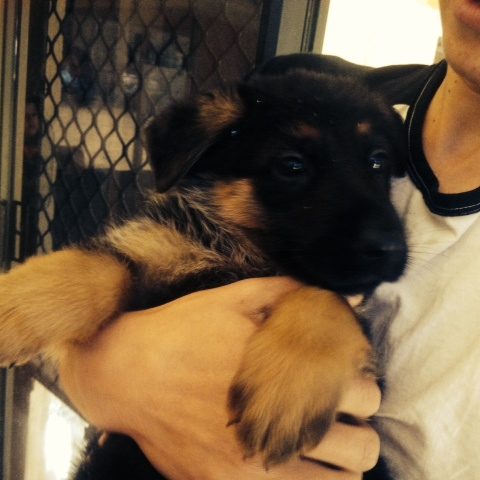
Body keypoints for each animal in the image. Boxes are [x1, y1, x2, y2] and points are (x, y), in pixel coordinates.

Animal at [0, 69, 406, 478]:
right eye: (291, 166)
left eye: (378, 162)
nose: (391, 248)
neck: (244, 253)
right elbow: (100, 266)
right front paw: (11, 310)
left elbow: (327, 296)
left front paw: (290, 390)